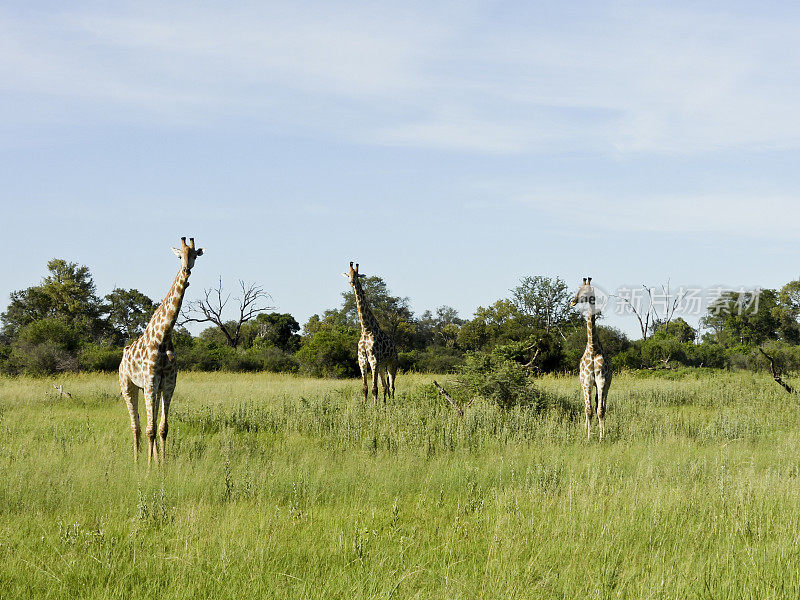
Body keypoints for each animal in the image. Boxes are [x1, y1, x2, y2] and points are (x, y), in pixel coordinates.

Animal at [121, 236, 205, 464]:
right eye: (179, 256)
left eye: (194, 255)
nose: (186, 270)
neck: (164, 336)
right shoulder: (150, 379)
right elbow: (149, 429)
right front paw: (150, 467)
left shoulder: (167, 382)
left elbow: (163, 428)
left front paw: (162, 464)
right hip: (128, 386)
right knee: (135, 425)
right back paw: (136, 460)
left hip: (149, 388)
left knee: (150, 421)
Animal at [342, 262, 398, 406]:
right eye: (348, 275)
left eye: (357, 275)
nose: (351, 282)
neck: (366, 329)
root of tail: (395, 347)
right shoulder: (362, 359)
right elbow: (365, 388)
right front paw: (364, 407)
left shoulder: (373, 359)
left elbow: (374, 388)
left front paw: (374, 407)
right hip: (382, 365)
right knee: (385, 386)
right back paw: (385, 405)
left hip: (392, 362)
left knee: (392, 386)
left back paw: (393, 405)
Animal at [568, 278, 612, 440]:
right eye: (578, 289)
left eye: (586, 291)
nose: (573, 302)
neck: (593, 349)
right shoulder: (587, 380)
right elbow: (589, 410)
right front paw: (588, 437)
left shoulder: (601, 380)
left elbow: (600, 410)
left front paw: (601, 436)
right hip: (583, 384)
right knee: (587, 406)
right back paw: (586, 429)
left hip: (605, 385)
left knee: (601, 405)